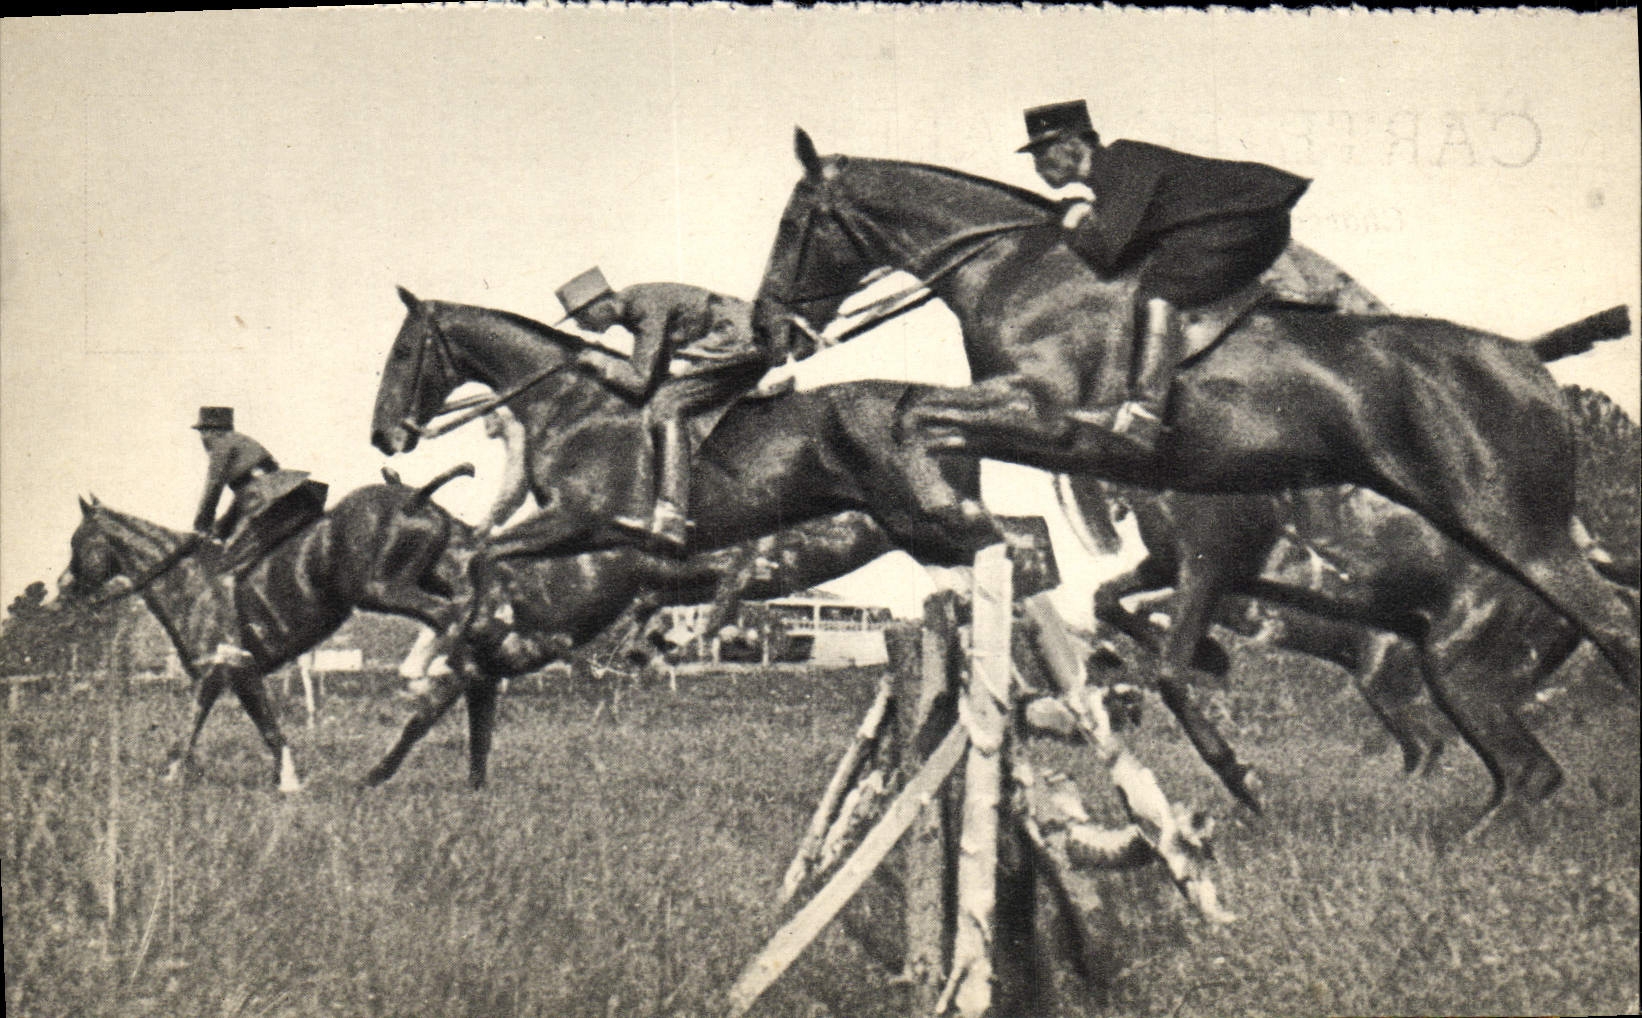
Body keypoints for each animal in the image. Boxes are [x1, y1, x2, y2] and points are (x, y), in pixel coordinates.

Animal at [57, 468, 475, 790]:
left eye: (77, 542)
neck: (184, 578)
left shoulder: (222, 665)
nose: (64, 590)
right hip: (426, 578)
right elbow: (259, 725)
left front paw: (173, 779)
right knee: (465, 613)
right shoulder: (236, 671)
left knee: (452, 617)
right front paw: (286, 781)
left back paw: (422, 683)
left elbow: (201, 724)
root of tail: (416, 499)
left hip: (381, 590)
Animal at [751, 128, 1640, 808]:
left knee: (1606, 629)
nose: (767, 329)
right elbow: (936, 435)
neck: (1014, 268)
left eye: (795, 222)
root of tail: (1527, 361)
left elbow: (919, 419)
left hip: (1509, 532)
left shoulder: (1053, 423)